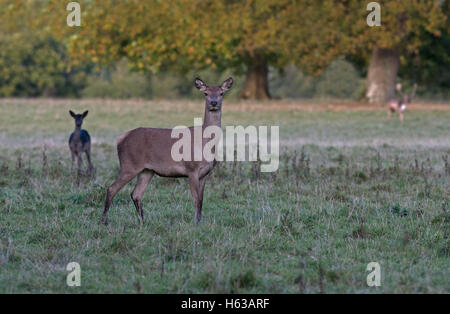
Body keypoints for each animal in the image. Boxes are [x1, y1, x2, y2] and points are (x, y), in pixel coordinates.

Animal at [101, 78, 234, 226]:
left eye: (221, 93)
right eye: (205, 93)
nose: (214, 103)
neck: (205, 142)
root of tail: (120, 139)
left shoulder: (205, 173)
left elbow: (201, 200)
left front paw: (200, 221)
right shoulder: (191, 169)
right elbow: (195, 199)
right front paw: (196, 222)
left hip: (147, 170)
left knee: (136, 193)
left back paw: (143, 221)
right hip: (129, 165)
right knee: (111, 189)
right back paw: (104, 220)